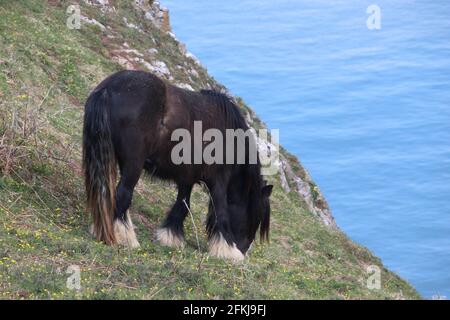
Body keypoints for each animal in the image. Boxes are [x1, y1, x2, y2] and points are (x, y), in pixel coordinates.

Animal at [81, 70, 272, 260]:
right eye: (255, 216)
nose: (244, 249)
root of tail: (108, 89)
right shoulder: (218, 181)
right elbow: (221, 211)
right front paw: (229, 251)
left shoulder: (187, 178)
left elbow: (182, 204)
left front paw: (170, 237)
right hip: (133, 165)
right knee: (123, 194)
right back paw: (124, 238)